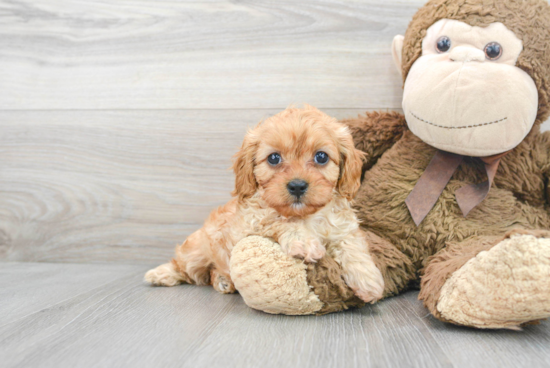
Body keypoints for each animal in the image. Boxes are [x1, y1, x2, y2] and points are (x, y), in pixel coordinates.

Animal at [143, 105, 384, 304]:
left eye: (321, 157)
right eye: (274, 158)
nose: (297, 186)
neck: (305, 216)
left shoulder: (343, 228)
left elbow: (351, 245)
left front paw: (368, 280)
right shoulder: (248, 224)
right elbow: (277, 219)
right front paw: (304, 242)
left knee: (209, 273)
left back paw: (222, 280)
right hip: (196, 250)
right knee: (185, 267)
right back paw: (160, 274)